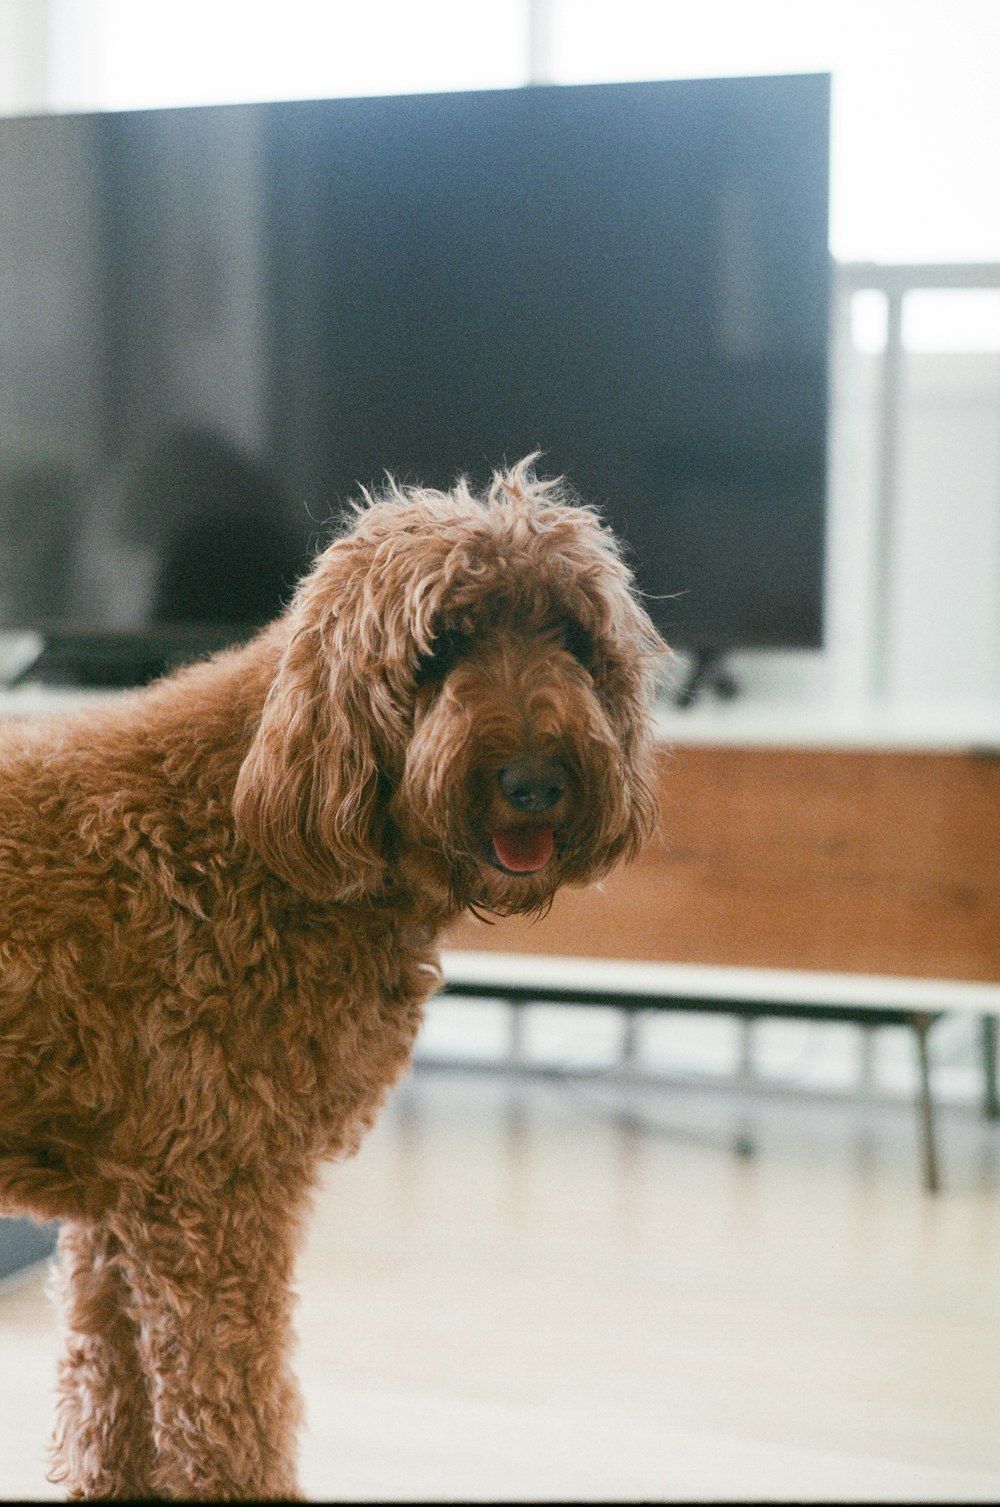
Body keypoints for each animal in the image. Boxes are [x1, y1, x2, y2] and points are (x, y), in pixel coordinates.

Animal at [1, 455, 671, 1494]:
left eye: (570, 635)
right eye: (443, 642)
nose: (535, 781)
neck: (261, 815)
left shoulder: (120, 1210)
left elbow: (111, 1404)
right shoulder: (210, 1200)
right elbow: (228, 1425)